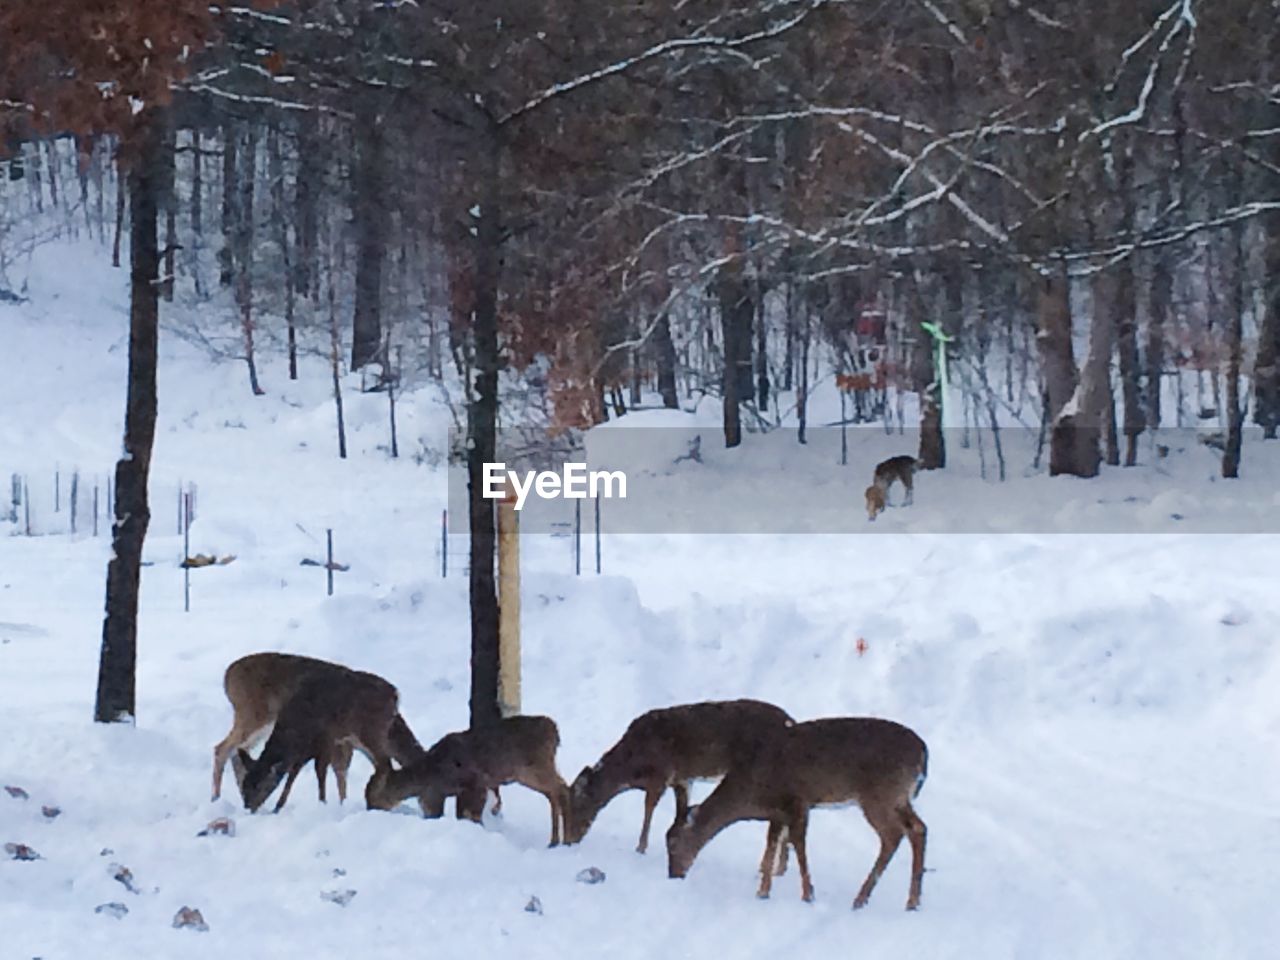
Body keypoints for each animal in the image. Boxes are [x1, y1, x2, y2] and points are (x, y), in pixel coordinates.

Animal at [212, 655, 422, 814]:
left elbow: (338, 770)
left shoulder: (340, 741)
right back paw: (216, 798)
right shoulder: (336, 740)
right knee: (223, 748)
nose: (249, 806)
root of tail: (227, 676)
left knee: (236, 750)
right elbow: (328, 770)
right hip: (253, 715)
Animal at [368, 716, 573, 849]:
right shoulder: (436, 796)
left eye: (372, 796)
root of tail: (554, 730)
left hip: (533, 768)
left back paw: (564, 839)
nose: (370, 810)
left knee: (561, 788)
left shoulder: (475, 784)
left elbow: (471, 815)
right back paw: (555, 840)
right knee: (555, 792)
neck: (429, 774)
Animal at [568, 701, 793, 855]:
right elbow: (681, 810)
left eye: (576, 807)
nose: (570, 840)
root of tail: (790, 720)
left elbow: (649, 808)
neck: (631, 769)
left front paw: (641, 848)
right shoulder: (682, 779)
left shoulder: (661, 775)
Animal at [665, 716, 926, 911]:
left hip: (880, 796)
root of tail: (923, 753)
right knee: (918, 828)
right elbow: (772, 843)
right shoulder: (778, 811)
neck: (751, 790)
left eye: (673, 843)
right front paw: (763, 892)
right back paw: (911, 902)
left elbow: (798, 844)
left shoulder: (797, 801)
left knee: (893, 835)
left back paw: (862, 899)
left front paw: (807, 895)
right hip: (898, 798)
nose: (673, 875)